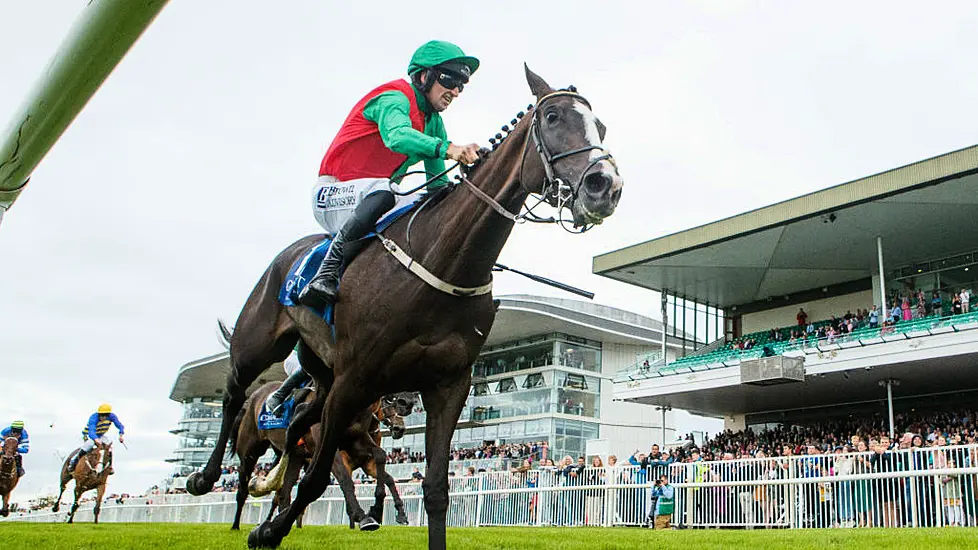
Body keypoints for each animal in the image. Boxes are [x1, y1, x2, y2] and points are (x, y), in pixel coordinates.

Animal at [187, 66, 620, 550]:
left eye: (600, 127)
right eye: (552, 116)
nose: (605, 186)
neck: (444, 260)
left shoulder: (448, 386)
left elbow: (434, 489)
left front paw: (276, 525)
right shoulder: (356, 379)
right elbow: (318, 479)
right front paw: (275, 529)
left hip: (322, 372)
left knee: (298, 419)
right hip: (261, 344)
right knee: (233, 395)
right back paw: (207, 478)